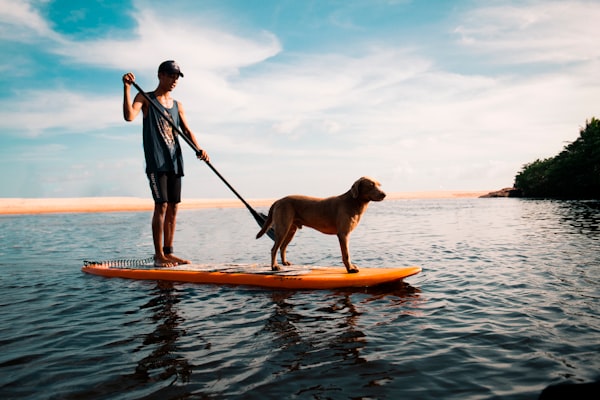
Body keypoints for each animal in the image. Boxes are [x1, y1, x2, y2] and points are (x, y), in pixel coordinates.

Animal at [255, 177, 386, 274]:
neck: (353, 202)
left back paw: (285, 263)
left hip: (291, 230)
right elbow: (346, 254)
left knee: (282, 247)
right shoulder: (343, 234)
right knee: (274, 249)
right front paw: (350, 269)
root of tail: (278, 200)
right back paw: (274, 266)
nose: (384, 194)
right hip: (283, 228)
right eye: (371, 185)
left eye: (379, 184)